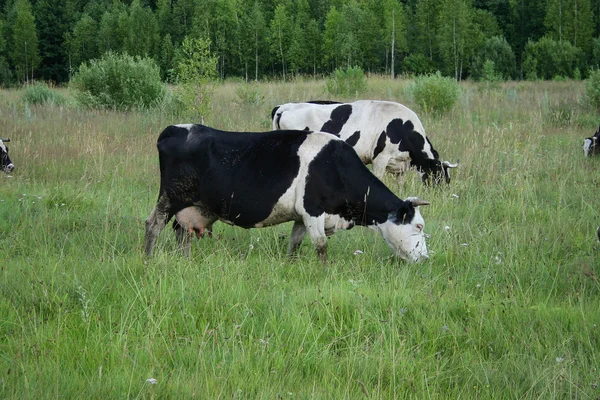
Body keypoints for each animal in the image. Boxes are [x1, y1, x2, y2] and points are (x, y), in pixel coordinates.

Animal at [143, 124, 428, 262]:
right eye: (419, 226)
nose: (425, 258)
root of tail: (174, 128)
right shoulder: (313, 210)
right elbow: (321, 245)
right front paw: (324, 271)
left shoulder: (301, 217)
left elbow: (295, 244)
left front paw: (291, 266)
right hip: (170, 196)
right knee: (153, 224)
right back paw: (148, 259)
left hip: (192, 205)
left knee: (182, 232)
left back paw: (186, 260)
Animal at [270, 101, 458, 186]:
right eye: (439, 177)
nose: (441, 195)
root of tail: (284, 106)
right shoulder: (380, 159)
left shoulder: (400, 165)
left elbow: (401, 185)